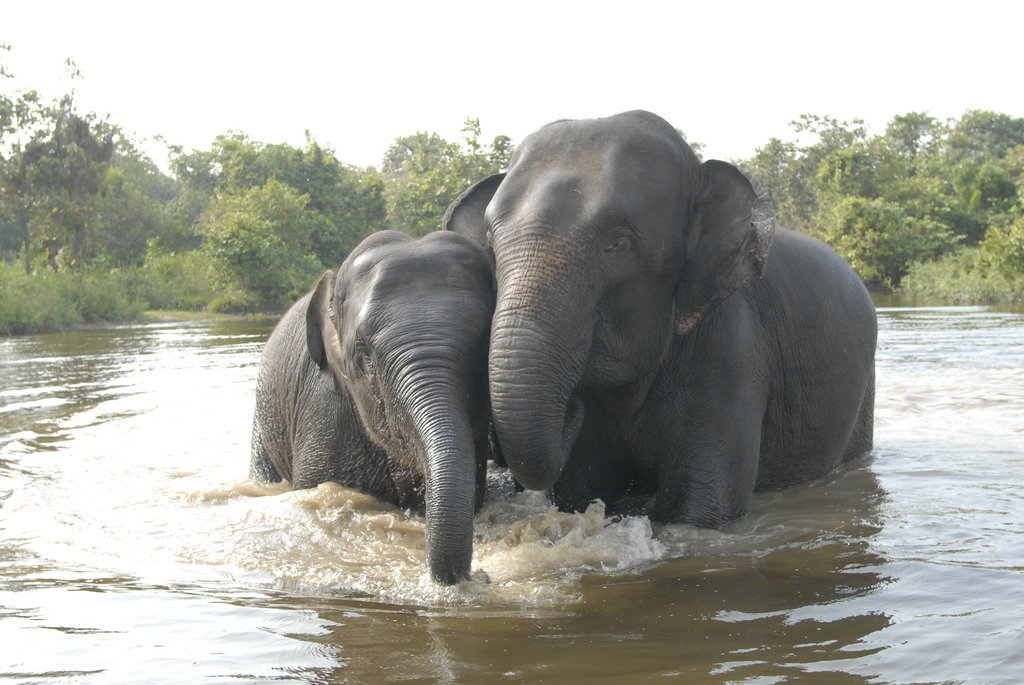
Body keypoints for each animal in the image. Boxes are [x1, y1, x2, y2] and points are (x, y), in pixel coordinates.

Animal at [444, 109, 876, 528]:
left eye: (618, 244)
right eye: (490, 245)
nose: (570, 407)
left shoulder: (734, 351)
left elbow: (702, 512)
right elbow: (579, 496)